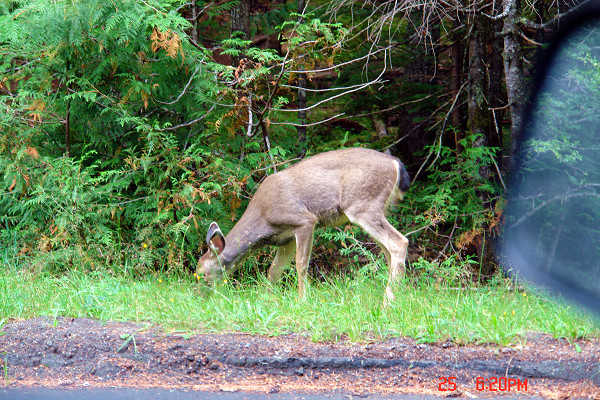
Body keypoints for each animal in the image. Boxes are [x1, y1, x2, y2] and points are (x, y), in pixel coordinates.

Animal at [197, 147, 412, 304]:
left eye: (202, 274)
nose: (199, 297)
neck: (263, 219)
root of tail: (395, 164)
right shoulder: (286, 239)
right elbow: (274, 270)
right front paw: (266, 298)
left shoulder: (304, 221)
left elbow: (300, 264)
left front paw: (302, 300)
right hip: (377, 209)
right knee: (389, 250)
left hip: (363, 206)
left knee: (400, 242)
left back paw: (388, 301)